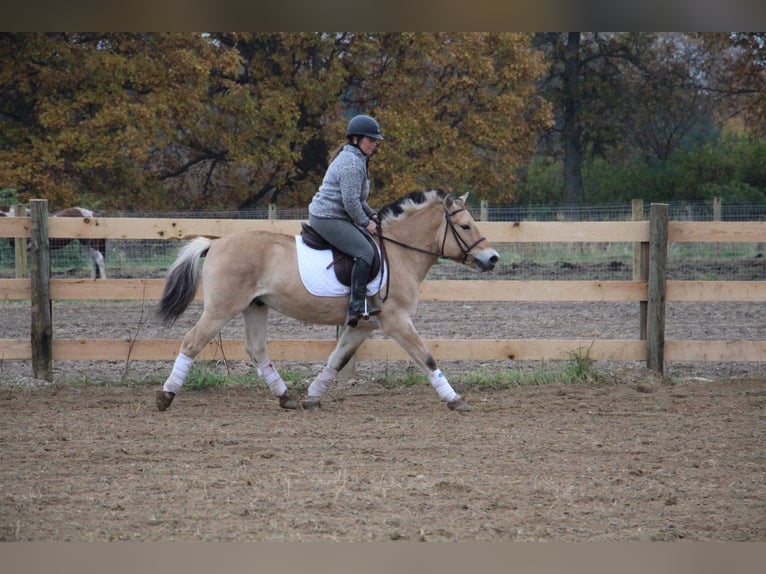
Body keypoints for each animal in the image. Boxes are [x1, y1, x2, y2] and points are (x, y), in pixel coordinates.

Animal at [157, 192, 504, 414]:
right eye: (465, 226)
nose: (492, 258)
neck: (400, 253)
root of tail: (215, 244)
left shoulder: (364, 326)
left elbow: (337, 360)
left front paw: (312, 397)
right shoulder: (397, 321)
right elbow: (427, 358)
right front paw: (455, 399)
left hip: (255, 307)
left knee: (257, 349)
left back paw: (286, 397)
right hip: (221, 309)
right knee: (191, 342)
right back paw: (166, 396)